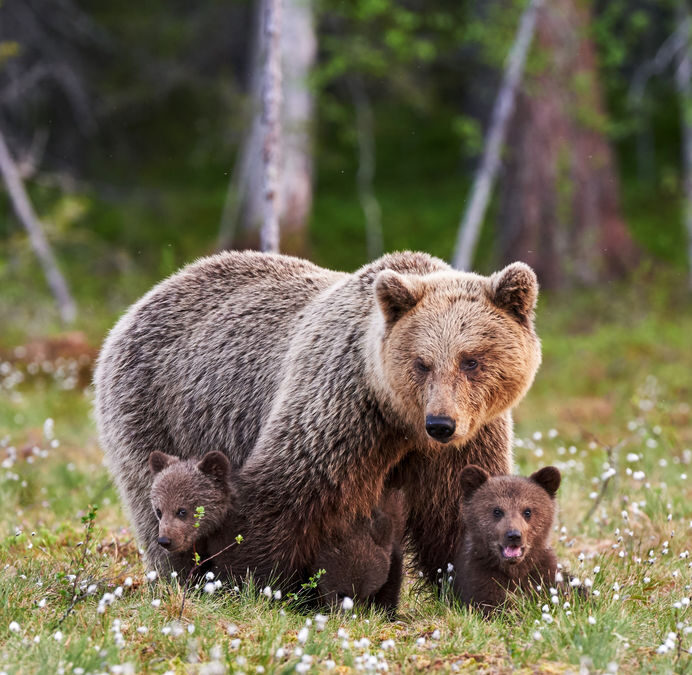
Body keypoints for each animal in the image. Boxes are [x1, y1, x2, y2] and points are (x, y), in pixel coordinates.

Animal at [94, 250, 540, 592]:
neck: (399, 421)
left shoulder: (467, 439)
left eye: (471, 360)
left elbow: (458, 510)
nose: (441, 424)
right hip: (156, 408)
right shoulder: (340, 409)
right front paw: (252, 582)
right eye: (421, 363)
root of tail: (148, 296)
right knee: (159, 497)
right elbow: (284, 494)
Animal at [454, 464, 564, 612]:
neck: (515, 570)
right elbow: (491, 602)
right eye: (497, 511)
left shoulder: (543, 572)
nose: (514, 535)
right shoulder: (480, 575)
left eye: (527, 511)